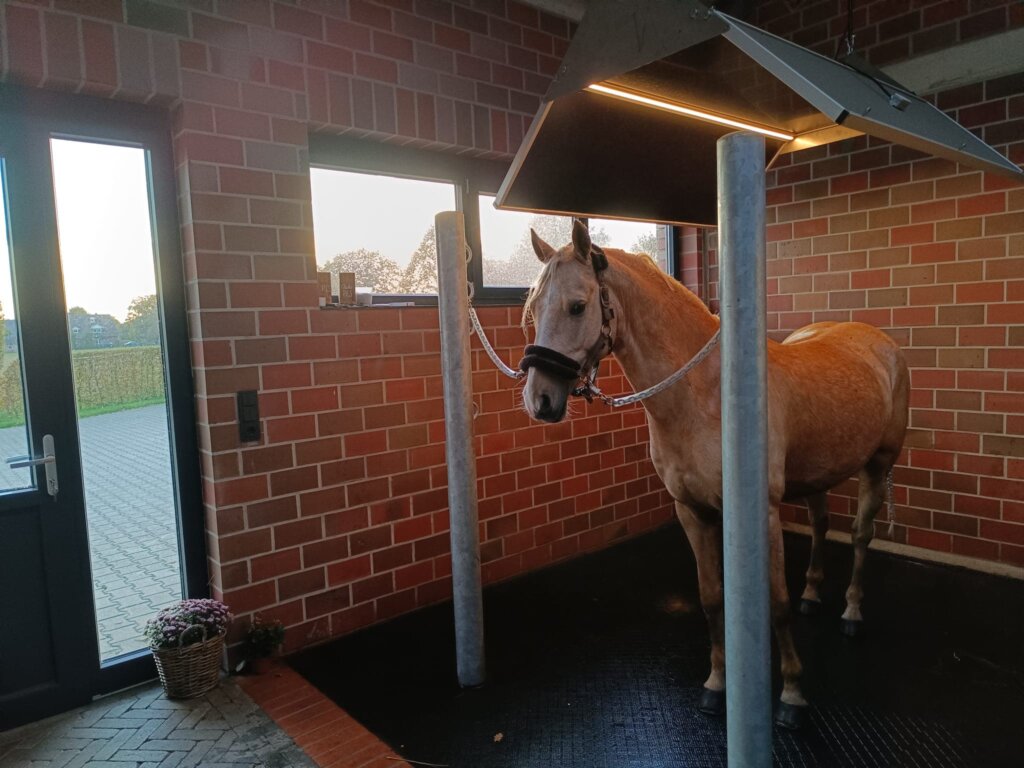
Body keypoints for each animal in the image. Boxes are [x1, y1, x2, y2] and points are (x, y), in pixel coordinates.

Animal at [519, 220, 909, 728]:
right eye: (533, 309)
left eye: (577, 306)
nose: (540, 400)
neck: (706, 395)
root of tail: (878, 342)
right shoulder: (692, 511)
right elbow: (710, 599)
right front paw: (717, 684)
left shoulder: (761, 515)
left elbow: (776, 604)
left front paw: (791, 694)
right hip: (816, 474)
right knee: (822, 525)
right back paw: (813, 593)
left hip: (879, 463)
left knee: (862, 536)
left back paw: (852, 613)